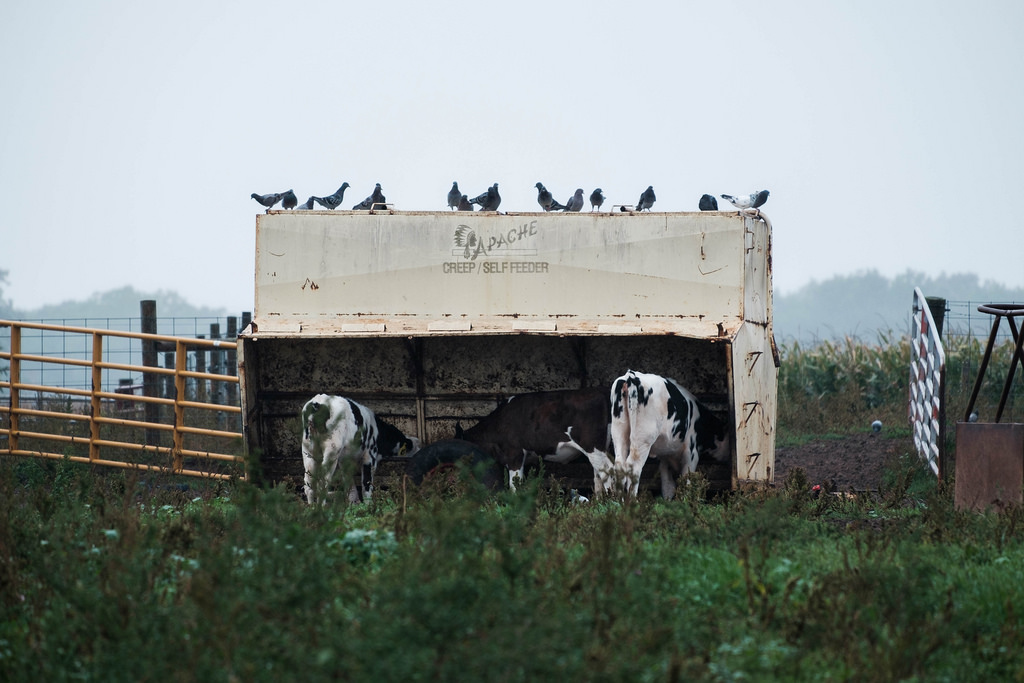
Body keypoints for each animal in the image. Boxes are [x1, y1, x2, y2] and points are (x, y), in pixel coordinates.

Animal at [606, 370, 729, 499]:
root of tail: (631, 376)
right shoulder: (692, 451)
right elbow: (687, 478)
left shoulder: (666, 456)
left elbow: (667, 483)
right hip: (643, 438)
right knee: (633, 466)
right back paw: (633, 500)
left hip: (619, 431)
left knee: (619, 465)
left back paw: (620, 500)